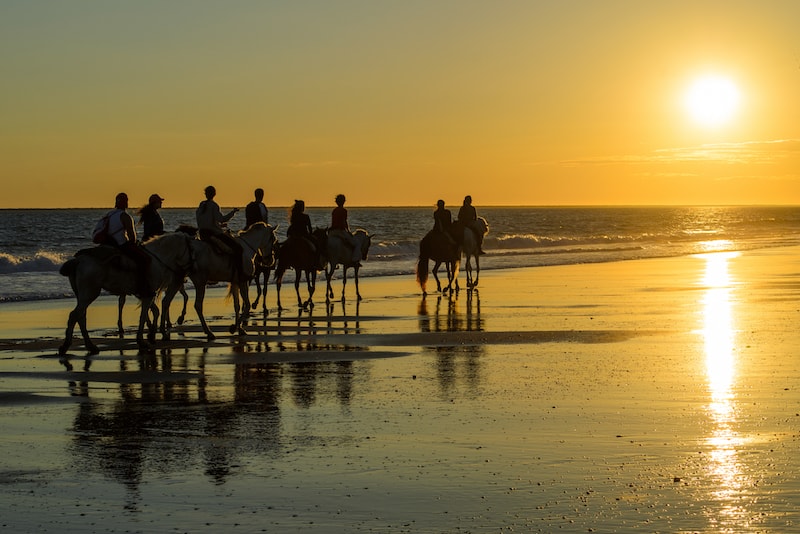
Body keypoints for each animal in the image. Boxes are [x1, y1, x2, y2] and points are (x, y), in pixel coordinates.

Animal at [58, 231, 194, 355]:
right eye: (192, 249)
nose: (186, 275)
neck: (156, 260)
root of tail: (78, 261)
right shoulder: (148, 295)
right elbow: (144, 315)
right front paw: (142, 340)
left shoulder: (145, 294)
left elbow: (154, 311)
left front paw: (151, 335)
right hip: (89, 293)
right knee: (75, 315)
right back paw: (67, 346)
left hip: (81, 295)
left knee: (80, 316)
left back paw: (90, 346)